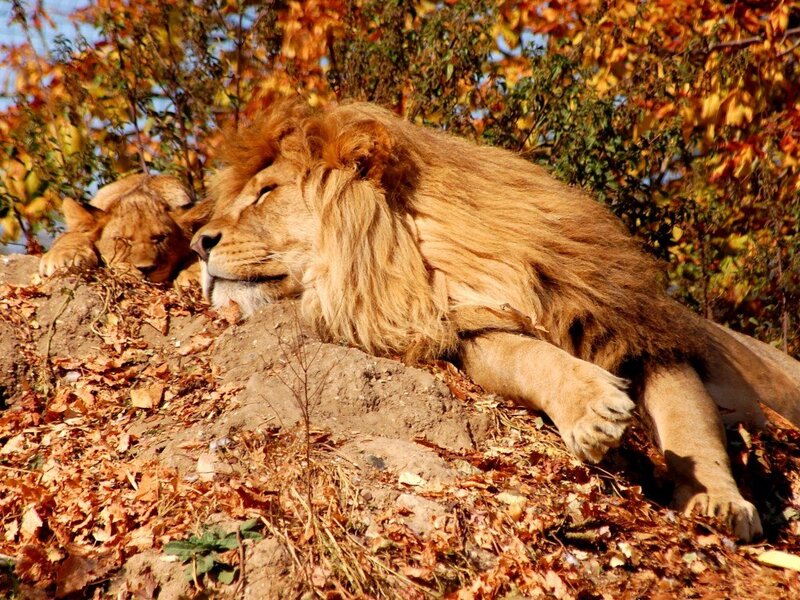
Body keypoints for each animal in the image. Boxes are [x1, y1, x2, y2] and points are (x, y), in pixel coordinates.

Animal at [39, 174, 210, 284]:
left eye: (161, 238)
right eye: (123, 240)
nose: (145, 269)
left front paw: (194, 275)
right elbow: (72, 236)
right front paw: (62, 258)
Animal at [190, 100, 800, 541]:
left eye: (266, 193)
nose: (199, 244)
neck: (429, 258)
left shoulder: (638, 330)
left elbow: (689, 422)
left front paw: (719, 502)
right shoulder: (468, 330)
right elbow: (531, 357)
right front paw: (595, 412)